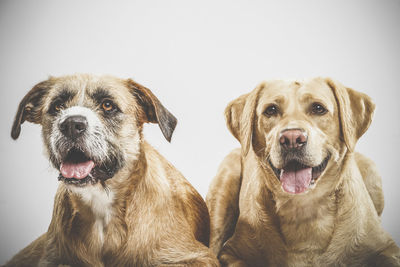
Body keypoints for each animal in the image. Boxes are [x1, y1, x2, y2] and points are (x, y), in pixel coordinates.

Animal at [206, 78, 400, 266]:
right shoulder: (231, 252)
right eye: (271, 110)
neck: (303, 207)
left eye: (318, 108)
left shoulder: (387, 248)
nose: (292, 139)